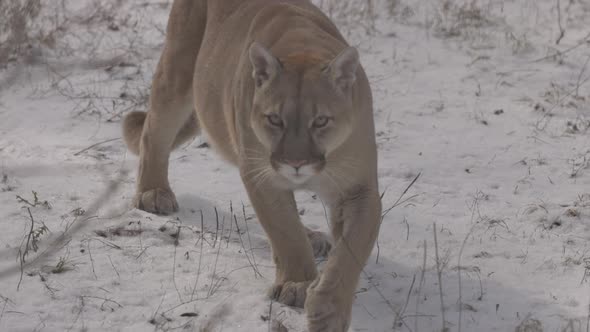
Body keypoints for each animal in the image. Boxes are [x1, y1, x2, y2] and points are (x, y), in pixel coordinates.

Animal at [125, 1, 384, 330]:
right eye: (275, 119)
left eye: (320, 121)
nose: (295, 163)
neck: (304, 47)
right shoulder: (263, 178)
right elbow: (284, 230)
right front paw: (297, 285)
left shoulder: (359, 189)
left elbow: (350, 251)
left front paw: (327, 311)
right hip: (177, 71)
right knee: (153, 133)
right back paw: (153, 193)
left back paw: (313, 238)